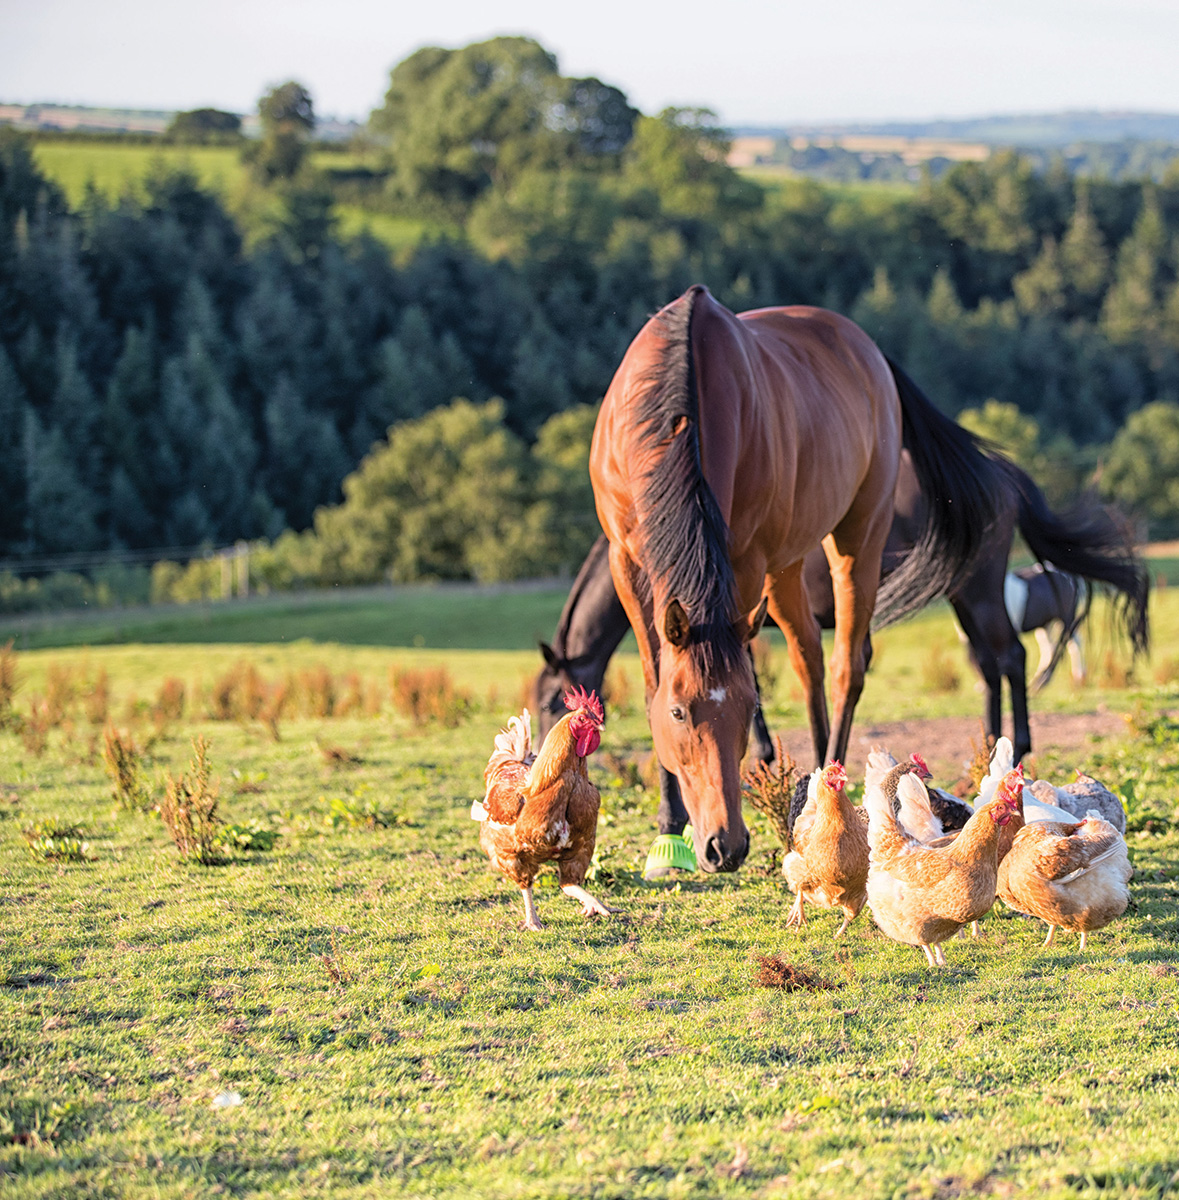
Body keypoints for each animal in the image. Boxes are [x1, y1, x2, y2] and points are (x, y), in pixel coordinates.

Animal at [595, 286, 1008, 878]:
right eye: (679, 712)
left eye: (748, 708)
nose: (724, 846)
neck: (677, 406)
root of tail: (870, 351)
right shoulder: (625, 560)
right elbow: (653, 674)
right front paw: (668, 830)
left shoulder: (745, 562)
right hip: (786, 565)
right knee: (808, 658)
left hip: (855, 538)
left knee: (842, 667)